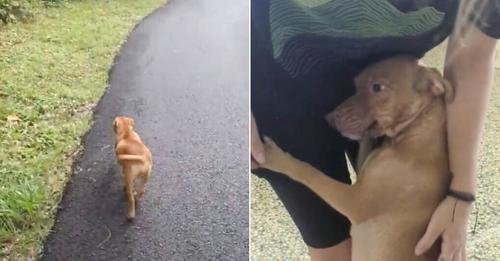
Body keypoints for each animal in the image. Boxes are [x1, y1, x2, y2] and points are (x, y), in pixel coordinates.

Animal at [262, 55, 454, 260]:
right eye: (355, 85)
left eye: (377, 87)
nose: (329, 117)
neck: (412, 135)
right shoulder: (361, 171)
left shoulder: (355, 202)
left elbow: (311, 173)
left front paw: (276, 158)